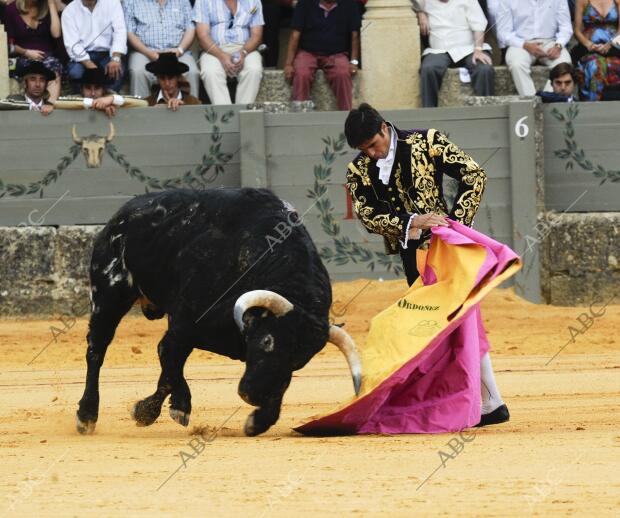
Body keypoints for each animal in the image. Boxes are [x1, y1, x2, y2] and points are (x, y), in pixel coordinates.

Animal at [75, 189, 360, 436]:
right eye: (267, 342)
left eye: (299, 361)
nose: (252, 396)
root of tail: (121, 215)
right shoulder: (185, 325)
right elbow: (167, 358)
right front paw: (156, 410)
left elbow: (279, 387)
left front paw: (257, 421)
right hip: (109, 295)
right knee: (96, 350)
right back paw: (86, 415)